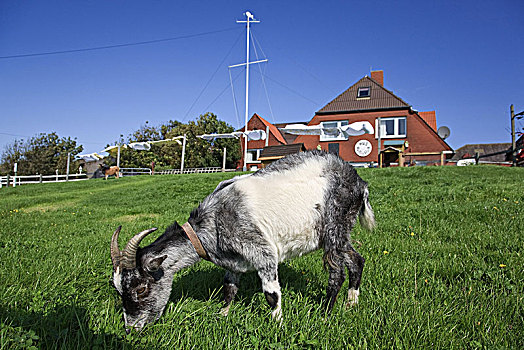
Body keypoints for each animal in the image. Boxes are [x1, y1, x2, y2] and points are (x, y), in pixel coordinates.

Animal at [110, 150, 374, 330]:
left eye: (141, 288)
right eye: (118, 289)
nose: (131, 328)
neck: (212, 222)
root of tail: (360, 183)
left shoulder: (263, 252)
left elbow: (271, 294)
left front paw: (278, 324)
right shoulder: (233, 261)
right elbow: (229, 288)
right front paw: (222, 315)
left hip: (334, 226)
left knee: (337, 272)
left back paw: (325, 312)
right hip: (340, 234)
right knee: (357, 260)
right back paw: (351, 303)